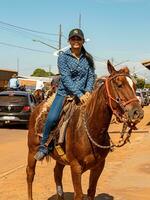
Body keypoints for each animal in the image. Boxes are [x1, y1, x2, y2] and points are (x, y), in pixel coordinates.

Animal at [26, 61, 144, 200]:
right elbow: (79, 194)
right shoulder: (76, 167)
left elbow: (91, 191)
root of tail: (38, 108)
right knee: (30, 173)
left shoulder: (99, 166)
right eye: (119, 84)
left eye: (135, 86)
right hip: (32, 150)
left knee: (57, 173)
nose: (138, 113)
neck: (90, 130)